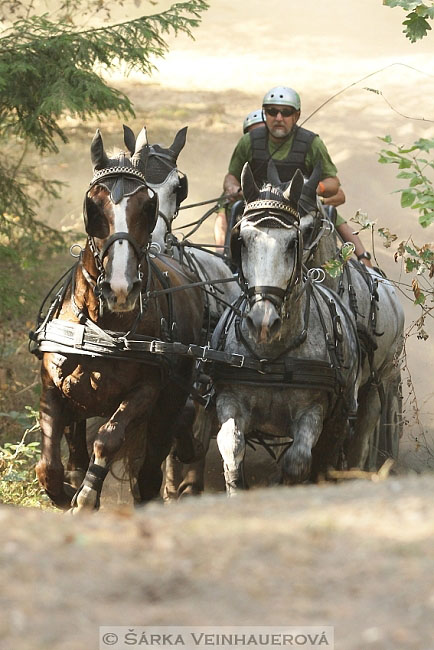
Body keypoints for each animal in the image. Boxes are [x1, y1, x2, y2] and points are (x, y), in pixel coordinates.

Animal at [34, 128, 204, 512]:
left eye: (146, 206)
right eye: (92, 206)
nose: (121, 287)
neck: (103, 327)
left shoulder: (147, 390)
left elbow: (109, 438)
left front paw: (85, 497)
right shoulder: (53, 385)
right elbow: (48, 466)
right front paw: (65, 490)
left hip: (168, 405)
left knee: (152, 467)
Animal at [199, 165, 360, 494]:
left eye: (292, 242)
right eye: (242, 240)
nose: (262, 321)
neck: (270, 355)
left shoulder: (313, 409)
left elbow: (297, 461)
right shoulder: (229, 398)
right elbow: (230, 445)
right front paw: (236, 484)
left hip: (341, 415)